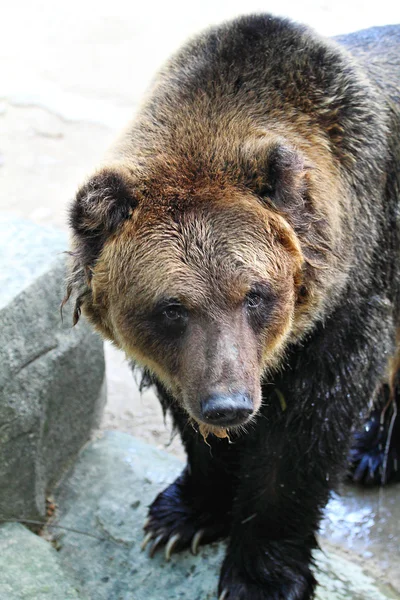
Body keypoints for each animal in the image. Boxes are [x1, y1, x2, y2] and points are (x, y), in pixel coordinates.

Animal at [66, 14, 400, 600]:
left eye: (256, 294)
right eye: (172, 308)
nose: (229, 404)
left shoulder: (350, 291)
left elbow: (307, 431)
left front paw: (261, 575)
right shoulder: (184, 360)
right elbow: (186, 408)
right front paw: (182, 518)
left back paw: (374, 454)